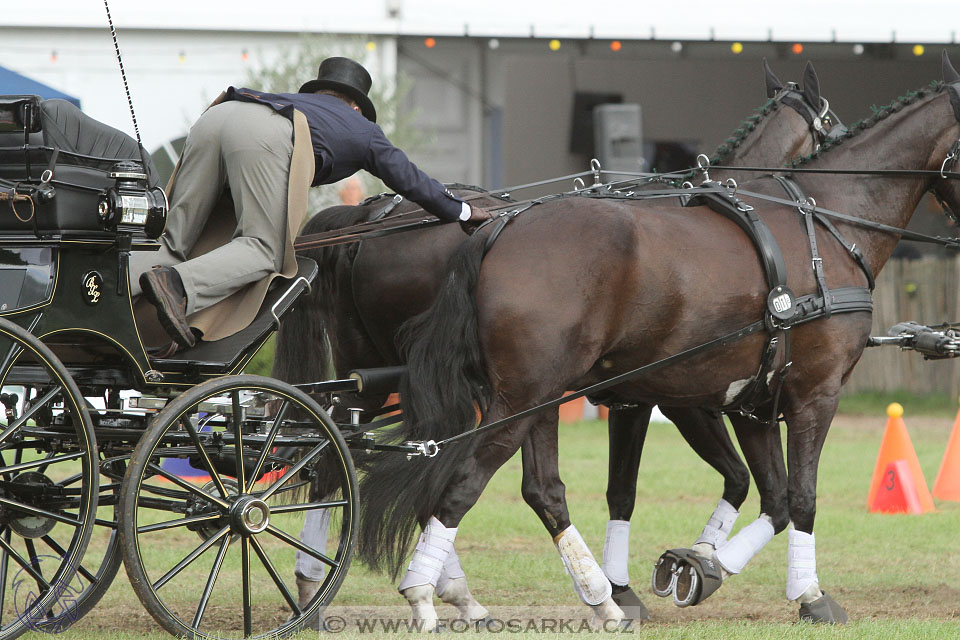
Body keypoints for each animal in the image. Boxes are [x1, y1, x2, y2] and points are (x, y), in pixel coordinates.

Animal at [276, 62, 840, 624]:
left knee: (337, 450)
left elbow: (663, 485)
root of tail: (370, 219)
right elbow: (678, 483)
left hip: (375, 374)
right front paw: (647, 580)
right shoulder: (676, 397)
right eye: (830, 122)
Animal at [358, 53, 960, 624]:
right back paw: (429, 594)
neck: (826, 220)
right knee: (459, 482)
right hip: (518, 401)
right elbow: (801, 497)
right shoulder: (808, 394)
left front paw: (701, 566)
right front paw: (808, 595)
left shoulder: (749, 403)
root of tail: (497, 228)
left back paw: (594, 600)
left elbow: (772, 496)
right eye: (829, 123)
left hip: (535, 401)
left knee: (536, 488)